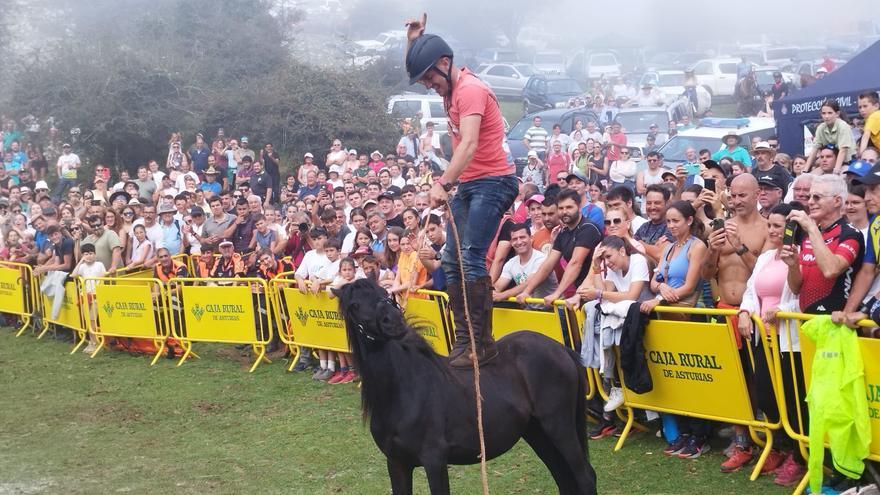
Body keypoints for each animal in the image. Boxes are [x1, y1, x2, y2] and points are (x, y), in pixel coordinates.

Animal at [332, 280, 600, 495]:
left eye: (384, 292)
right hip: (537, 433)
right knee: (565, 480)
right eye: (354, 305)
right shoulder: (397, 464)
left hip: (559, 428)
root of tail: (560, 349)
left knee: (585, 477)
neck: (402, 391)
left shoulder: (434, 461)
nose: (394, 322)